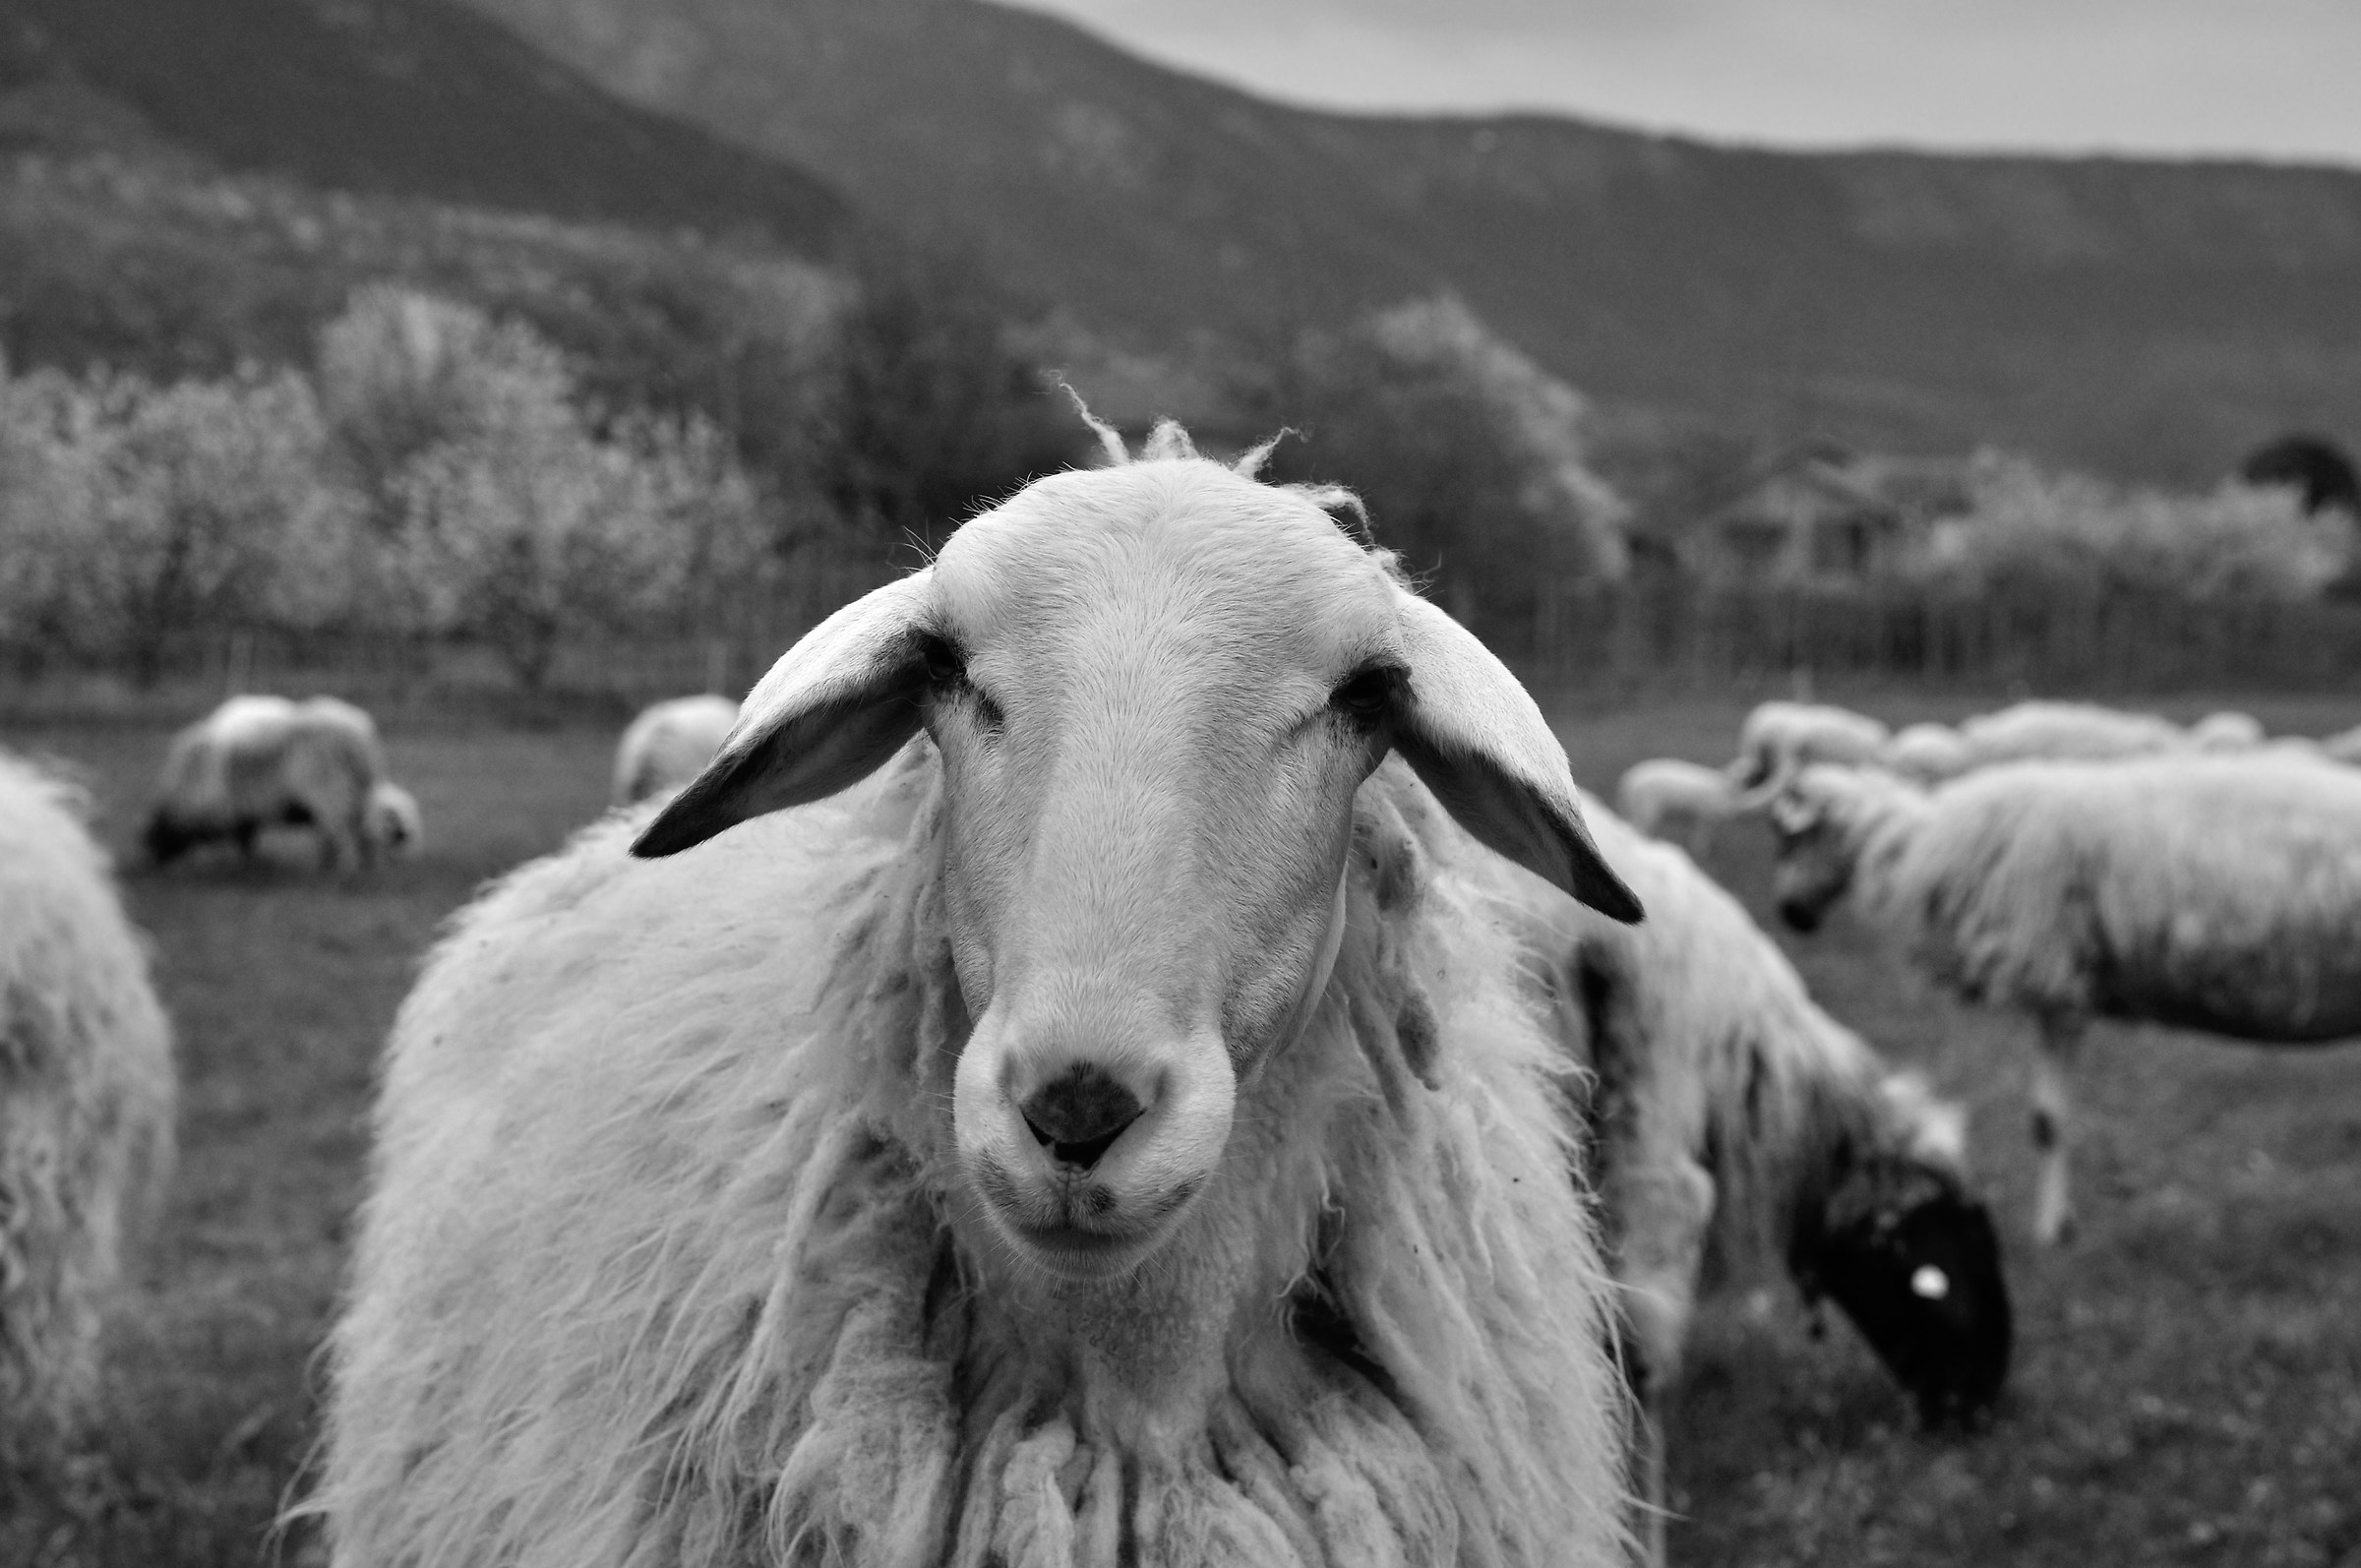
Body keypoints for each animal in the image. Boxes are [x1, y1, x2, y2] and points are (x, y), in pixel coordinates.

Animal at [144, 694, 421, 871]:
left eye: (157, 837)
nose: (155, 863)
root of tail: (356, 738)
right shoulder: (244, 812)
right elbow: (246, 840)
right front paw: (248, 864)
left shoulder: (234, 810)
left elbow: (243, 841)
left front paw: (243, 864)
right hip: (340, 794)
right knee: (348, 833)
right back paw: (353, 867)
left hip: (330, 793)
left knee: (339, 833)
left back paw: (340, 870)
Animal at [1765, 756, 2361, 1245]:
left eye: (1794, 838)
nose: (1791, 913)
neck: (1919, 846)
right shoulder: (2060, 986)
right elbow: (2046, 1121)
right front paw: (2061, 1224)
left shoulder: (2053, 980)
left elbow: (2047, 1121)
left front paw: (2052, 1231)